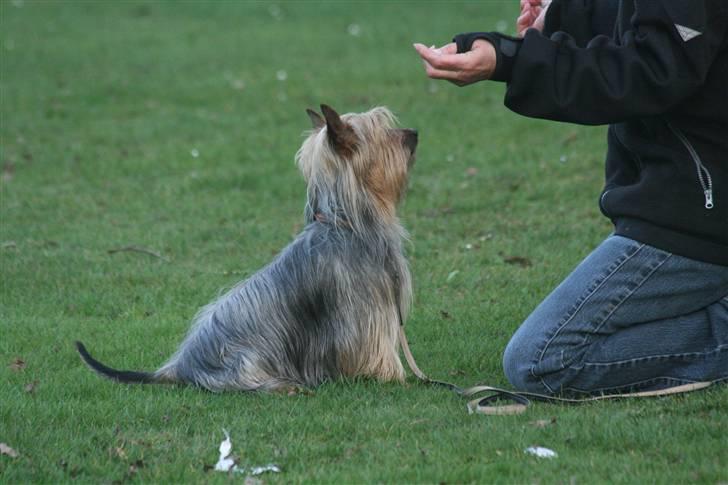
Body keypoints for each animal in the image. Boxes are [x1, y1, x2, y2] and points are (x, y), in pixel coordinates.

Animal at [76, 104, 418, 392]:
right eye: (383, 132)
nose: (413, 133)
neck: (342, 222)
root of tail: (179, 366)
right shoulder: (364, 312)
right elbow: (374, 346)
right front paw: (389, 374)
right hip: (244, 357)